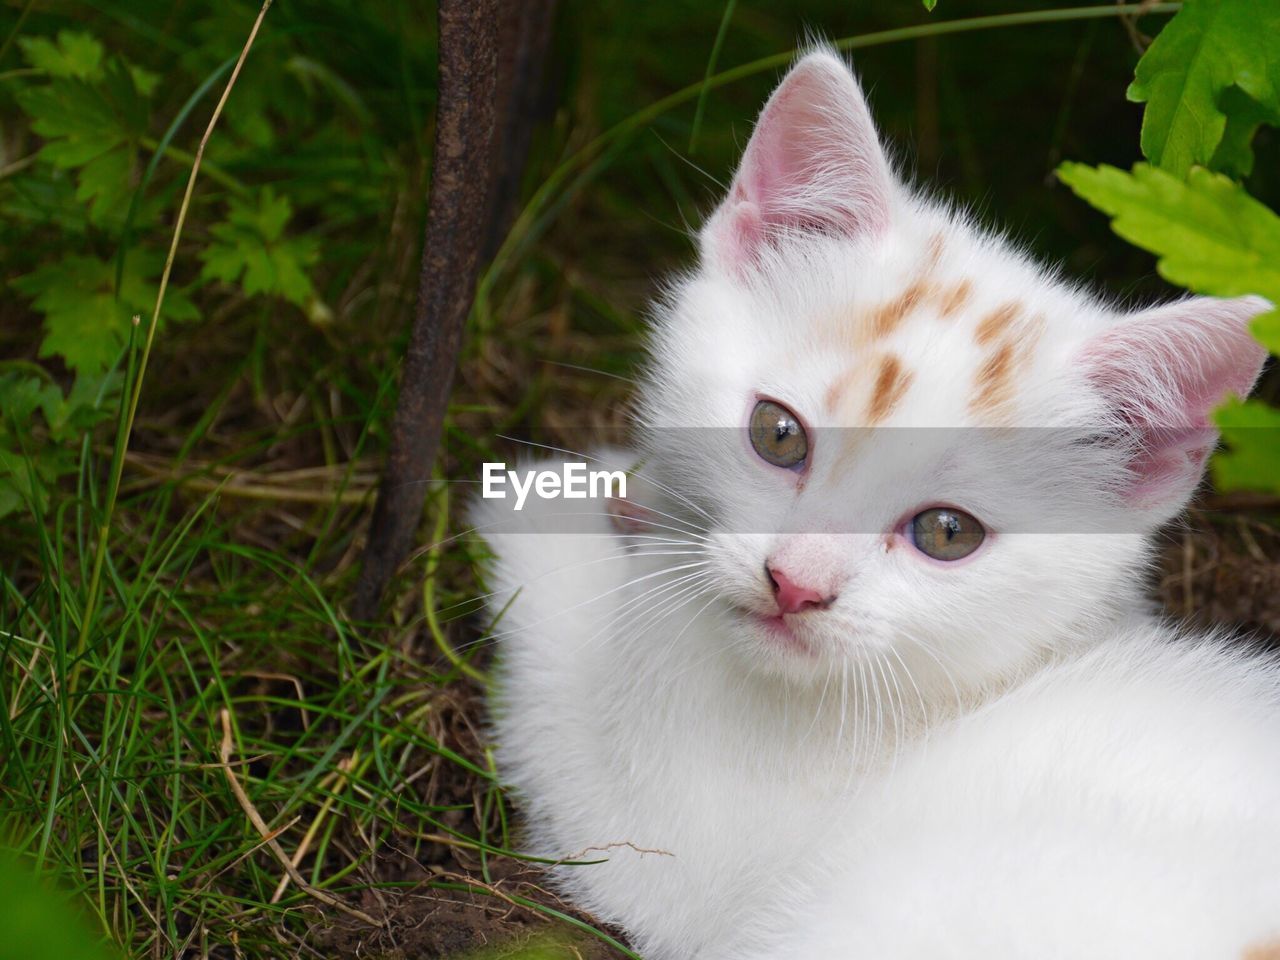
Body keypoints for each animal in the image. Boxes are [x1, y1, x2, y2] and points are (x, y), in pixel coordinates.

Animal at [473, 52, 1280, 960]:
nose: (795, 584)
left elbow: (557, 672)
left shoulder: (653, 846)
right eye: (778, 434)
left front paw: (544, 506)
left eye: (946, 532)